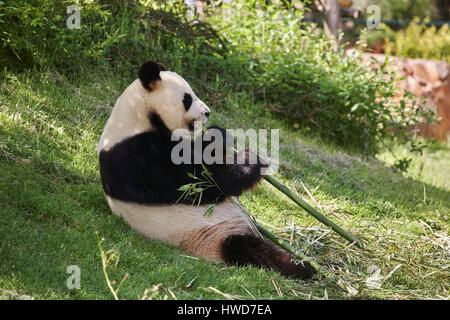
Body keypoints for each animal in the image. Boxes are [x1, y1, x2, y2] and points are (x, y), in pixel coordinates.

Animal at [97, 60, 316, 280]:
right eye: (188, 99)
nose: (207, 112)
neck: (137, 115)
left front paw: (218, 134)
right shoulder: (137, 158)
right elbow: (204, 183)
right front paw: (251, 159)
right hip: (209, 236)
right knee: (249, 250)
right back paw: (303, 267)